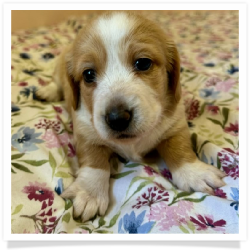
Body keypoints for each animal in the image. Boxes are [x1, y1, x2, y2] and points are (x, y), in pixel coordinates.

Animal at [36, 11, 226, 223]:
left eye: (143, 63)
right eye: (88, 75)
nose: (117, 118)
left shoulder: (175, 123)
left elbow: (180, 147)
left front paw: (193, 172)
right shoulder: (85, 131)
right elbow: (94, 162)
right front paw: (90, 192)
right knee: (57, 83)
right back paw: (47, 91)